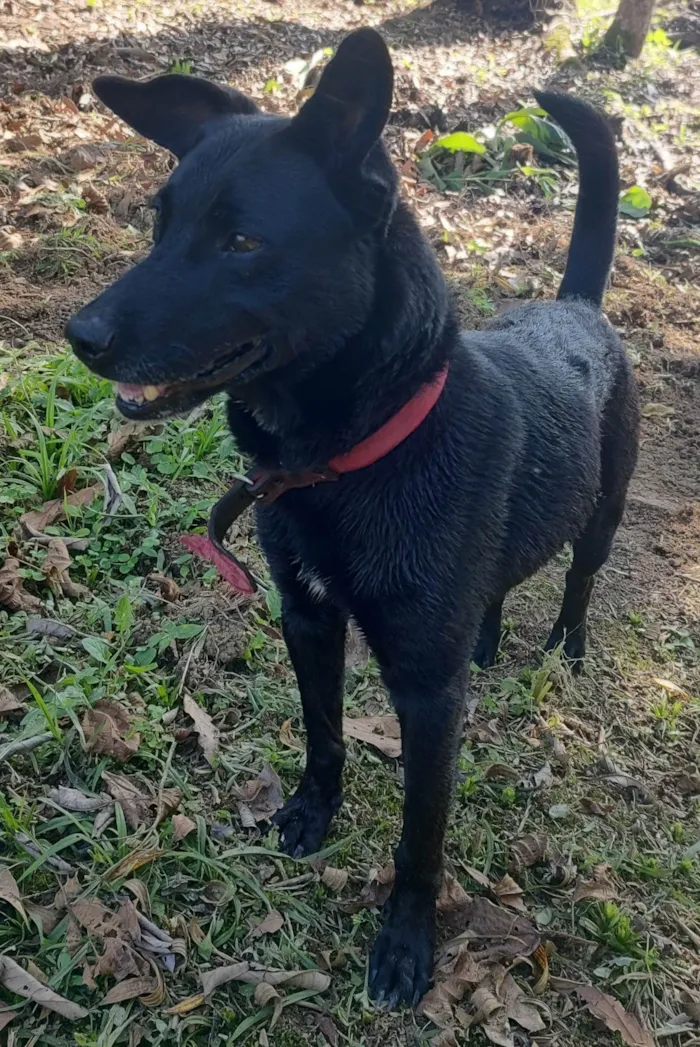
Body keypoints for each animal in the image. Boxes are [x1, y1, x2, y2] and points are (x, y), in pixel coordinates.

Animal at [66, 30, 640, 1005]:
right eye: (159, 223)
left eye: (243, 241)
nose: (82, 334)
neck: (350, 459)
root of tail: (577, 310)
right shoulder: (308, 617)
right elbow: (325, 733)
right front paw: (310, 812)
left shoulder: (426, 695)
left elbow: (420, 838)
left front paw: (406, 944)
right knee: (497, 586)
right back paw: (490, 639)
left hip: (604, 515)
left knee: (578, 576)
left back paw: (565, 645)